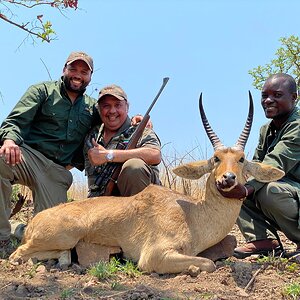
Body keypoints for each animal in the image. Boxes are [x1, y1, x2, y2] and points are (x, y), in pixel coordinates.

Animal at [8, 94, 282, 274]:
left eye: (241, 159)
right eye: (216, 158)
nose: (228, 178)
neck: (192, 214)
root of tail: (35, 221)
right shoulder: (154, 256)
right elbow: (207, 263)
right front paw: (193, 270)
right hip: (61, 237)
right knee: (17, 254)